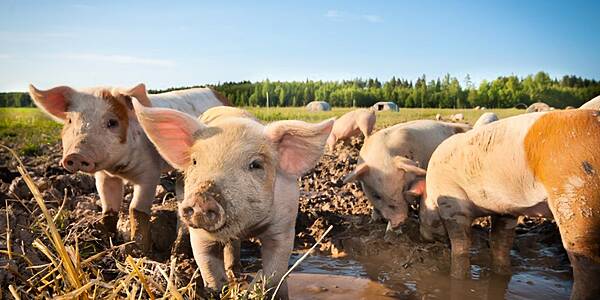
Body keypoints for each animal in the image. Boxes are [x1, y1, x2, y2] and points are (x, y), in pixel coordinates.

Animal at [25, 83, 229, 252]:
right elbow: (109, 208)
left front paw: (137, 250)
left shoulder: (150, 173)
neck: (120, 169)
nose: (75, 155)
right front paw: (105, 239)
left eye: (112, 122)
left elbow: (136, 209)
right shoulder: (104, 176)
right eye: (69, 121)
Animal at [134, 99, 336, 298]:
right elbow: (208, 265)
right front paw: (218, 290)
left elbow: (275, 270)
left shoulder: (284, 225)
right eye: (195, 161)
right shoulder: (200, 235)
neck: (247, 227)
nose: (202, 199)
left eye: (255, 165)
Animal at [418, 109, 600, 298]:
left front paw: (457, 277)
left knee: (585, 262)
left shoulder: (451, 203)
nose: (421, 237)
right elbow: (500, 243)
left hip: (577, 196)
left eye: (420, 215)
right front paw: (502, 275)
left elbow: (461, 245)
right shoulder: (505, 210)